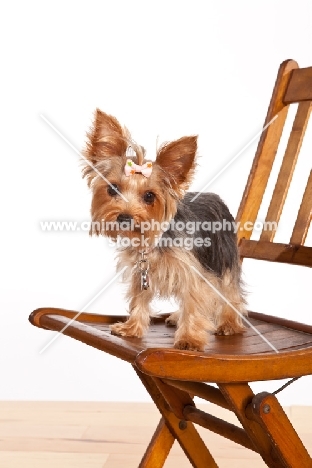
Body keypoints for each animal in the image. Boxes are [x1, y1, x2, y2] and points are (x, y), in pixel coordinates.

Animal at [82, 109, 246, 352]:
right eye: (113, 189)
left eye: (149, 196)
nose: (124, 217)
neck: (152, 241)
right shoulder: (140, 272)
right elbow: (139, 297)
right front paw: (132, 328)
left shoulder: (194, 271)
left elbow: (195, 301)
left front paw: (190, 339)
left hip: (224, 256)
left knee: (230, 291)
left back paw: (229, 323)